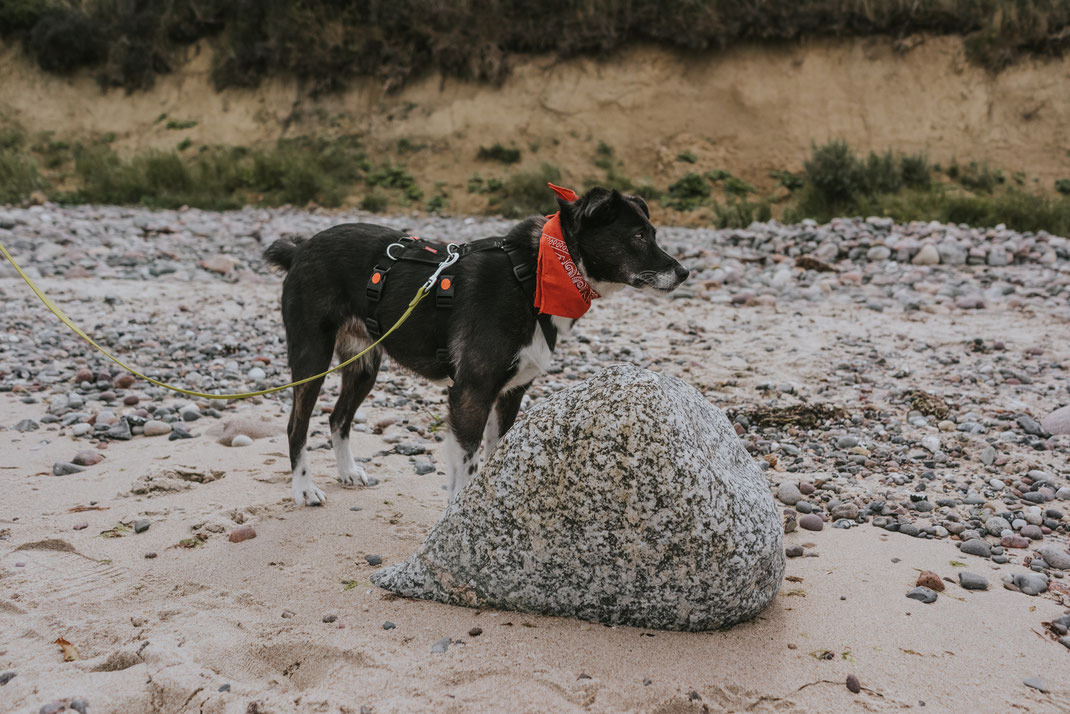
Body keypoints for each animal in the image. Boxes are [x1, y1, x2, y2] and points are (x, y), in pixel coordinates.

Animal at [263, 187, 689, 505]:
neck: (535, 275)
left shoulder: (511, 394)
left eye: (653, 233)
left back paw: (348, 471)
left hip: (365, 362)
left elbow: (494, 457)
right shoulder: (471, 393)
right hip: (312, 356)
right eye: (638, 236)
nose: (684, 272)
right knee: (297, 425)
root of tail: (300, 250)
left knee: (338, 418)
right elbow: (466, 470)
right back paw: (304, 489)